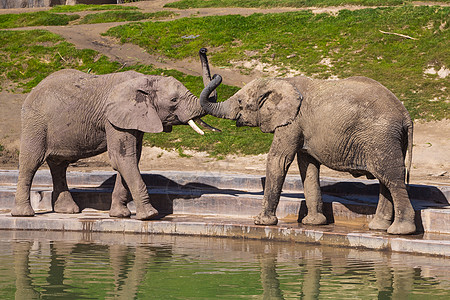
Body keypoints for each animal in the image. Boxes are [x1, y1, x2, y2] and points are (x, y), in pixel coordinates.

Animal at [12, 65, 220, 220]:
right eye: (174, 100)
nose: (203, 50)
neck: (145, 79)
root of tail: (34, 89)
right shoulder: (113, 118)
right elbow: (122, 158)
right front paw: (150, 216)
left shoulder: (134, 118)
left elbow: (130, 159)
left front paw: (120, 215)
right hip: (35, 122)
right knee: (31, 162)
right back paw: (24, 214)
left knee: (59, 165)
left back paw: (68, 211)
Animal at [200, 52, 414, 234]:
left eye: (241, 103)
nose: (204, 51)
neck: (281, 81)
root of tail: (406, 115)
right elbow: (307, 166)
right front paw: (314, 223)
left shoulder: (292, 122)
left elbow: (279, 160)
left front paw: (261, 222)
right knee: (385, 179)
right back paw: (378, 227)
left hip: (381, 137)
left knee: (391, 177)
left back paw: (400, 231)